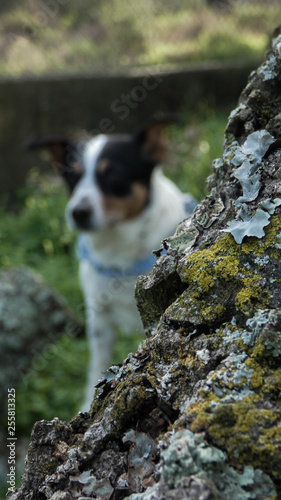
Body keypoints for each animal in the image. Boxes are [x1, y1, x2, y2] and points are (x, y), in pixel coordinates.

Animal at [27, 119, 196, 412]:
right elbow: (97, 364)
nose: (78, 212)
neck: (119, 256)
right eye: (72, 177)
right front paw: (87, 404)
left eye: (114, 175)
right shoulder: (99, 315)